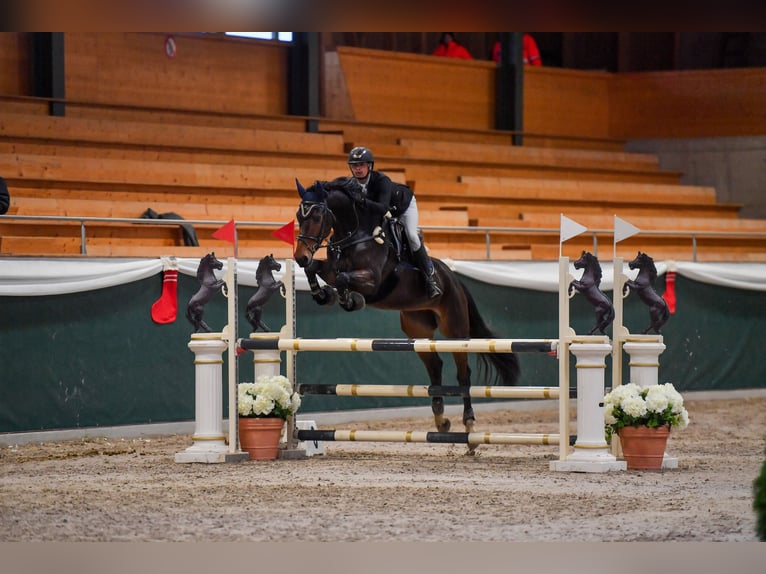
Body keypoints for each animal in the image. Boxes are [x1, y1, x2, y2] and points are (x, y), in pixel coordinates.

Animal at [294, 178, 520, 452]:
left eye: (317, 215)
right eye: (299, 216)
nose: (299, 256)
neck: (355, 236)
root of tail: (454, 278)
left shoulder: (373, 281)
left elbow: (343, 278)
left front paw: (349, 299)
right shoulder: (329, 268)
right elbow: (317, 270)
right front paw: (323, 294)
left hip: (455, 328)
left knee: (463, 374)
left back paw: (469, 428)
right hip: (417, 328)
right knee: (435, 365)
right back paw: (441, 421)